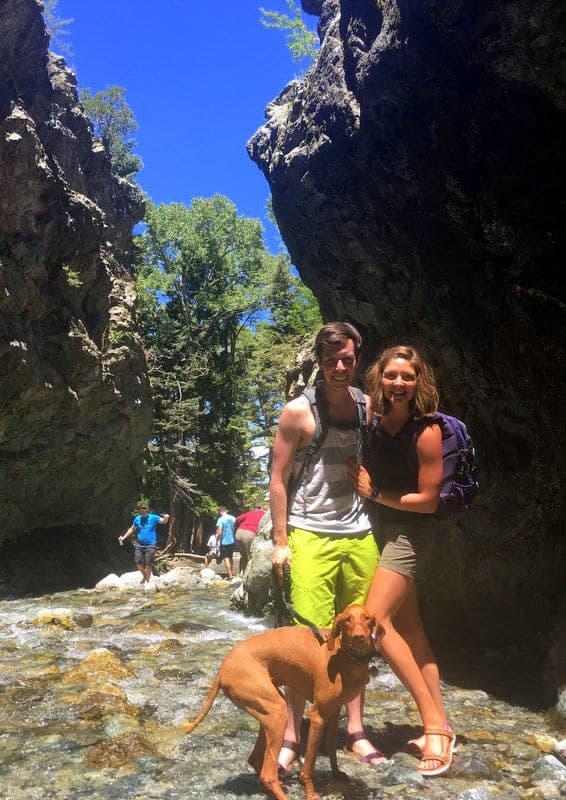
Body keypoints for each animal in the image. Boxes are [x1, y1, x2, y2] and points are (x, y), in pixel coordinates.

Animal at [184, 604, 384, 800]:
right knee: (267, 774)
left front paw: (337, 774)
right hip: (278, 713)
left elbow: (332, 747)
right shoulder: (317, 717)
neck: (344, 659)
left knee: (256, 761)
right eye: (347, 620)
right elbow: (309, 765)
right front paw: (310, 793)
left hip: (269, 712)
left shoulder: (334, 713)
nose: (359, 637)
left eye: (367, 618)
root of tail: (224, 667)